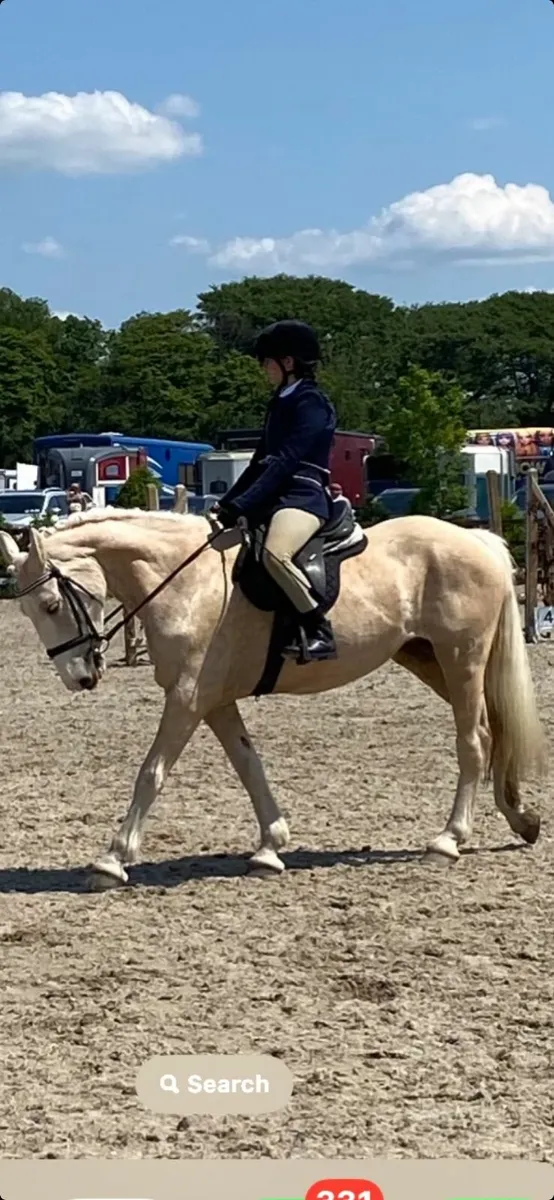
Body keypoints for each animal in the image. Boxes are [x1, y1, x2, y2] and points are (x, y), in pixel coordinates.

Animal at [0, 501, 546, 888]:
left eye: (51, 605)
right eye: (27, 610)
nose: (78, 678)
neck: (186, 581)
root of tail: (475, 539)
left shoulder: (187, 698)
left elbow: (151, 773)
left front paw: (113, 859)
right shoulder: (214, 701)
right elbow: (249, 764)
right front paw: (270, 847)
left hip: (461, 659)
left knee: (474, 739)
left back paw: (449, 839)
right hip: (426, 658)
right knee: (497, 729)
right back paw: (522, 818)